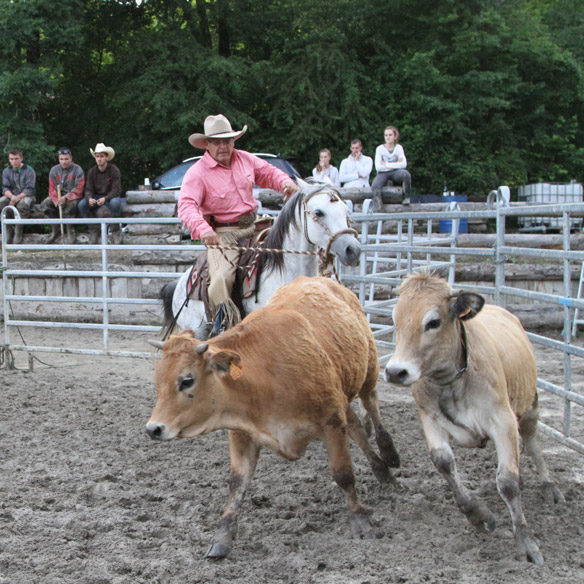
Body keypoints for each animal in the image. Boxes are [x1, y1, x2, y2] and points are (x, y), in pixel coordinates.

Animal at [148, 276, 400, 560]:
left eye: (186, 380)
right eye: (158, 381)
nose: (153, 429)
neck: (265, 374)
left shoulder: (331, 422)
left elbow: (343, 474)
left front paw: (360, 521)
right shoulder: (242, 433)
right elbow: (237, 483)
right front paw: (222, 538)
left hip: (369, 371)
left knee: (373, 407)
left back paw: (389, 455)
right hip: (343, 391)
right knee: (357, 426)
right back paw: (381, 470)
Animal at [386, 272, 564, 564]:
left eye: (433, 322)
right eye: (395, 318)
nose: (394, 372)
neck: (453, 382)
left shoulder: (503, 421)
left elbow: (507, 482)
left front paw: (526, 542)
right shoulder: (430, 418)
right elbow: (444, 463)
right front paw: (479, 516)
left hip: (530, 407)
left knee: (533, 445)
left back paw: (549, 487)